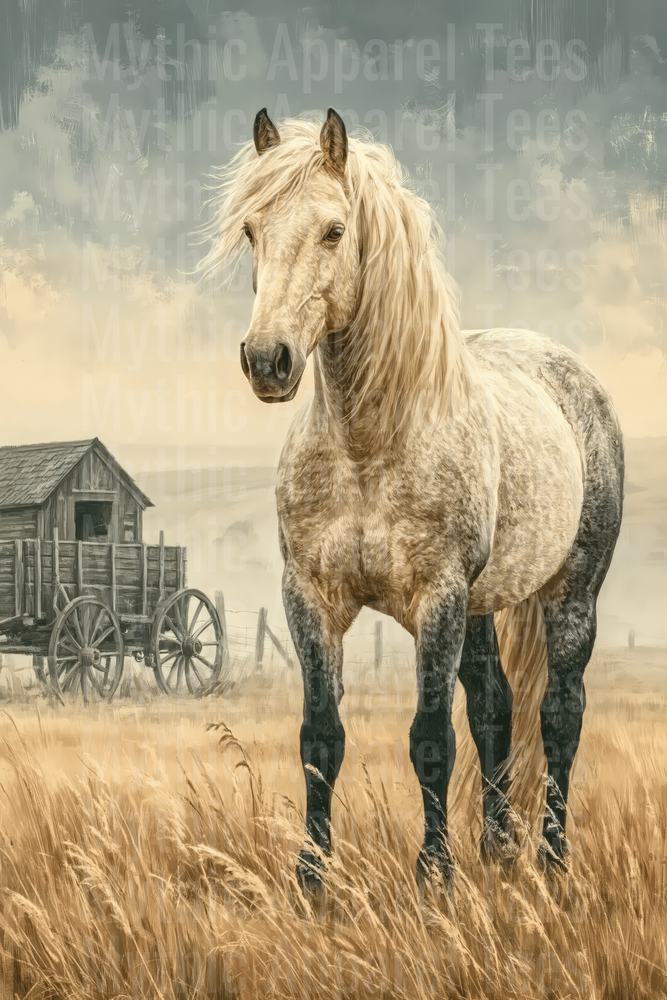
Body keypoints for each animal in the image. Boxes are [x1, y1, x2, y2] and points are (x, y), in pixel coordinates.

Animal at [204, 107, 624, 891]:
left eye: (335, 230)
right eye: (250, 230)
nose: (267, 360)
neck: (369, 446)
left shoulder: (437, 599)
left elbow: (430, 737)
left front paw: (434, 875)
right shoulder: (310, 598)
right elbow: (321, 737)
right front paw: (312, 877)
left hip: (570, 592)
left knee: (559, 714)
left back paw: (551, 858)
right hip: (484, 606)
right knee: (495, 707)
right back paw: (498, 847)